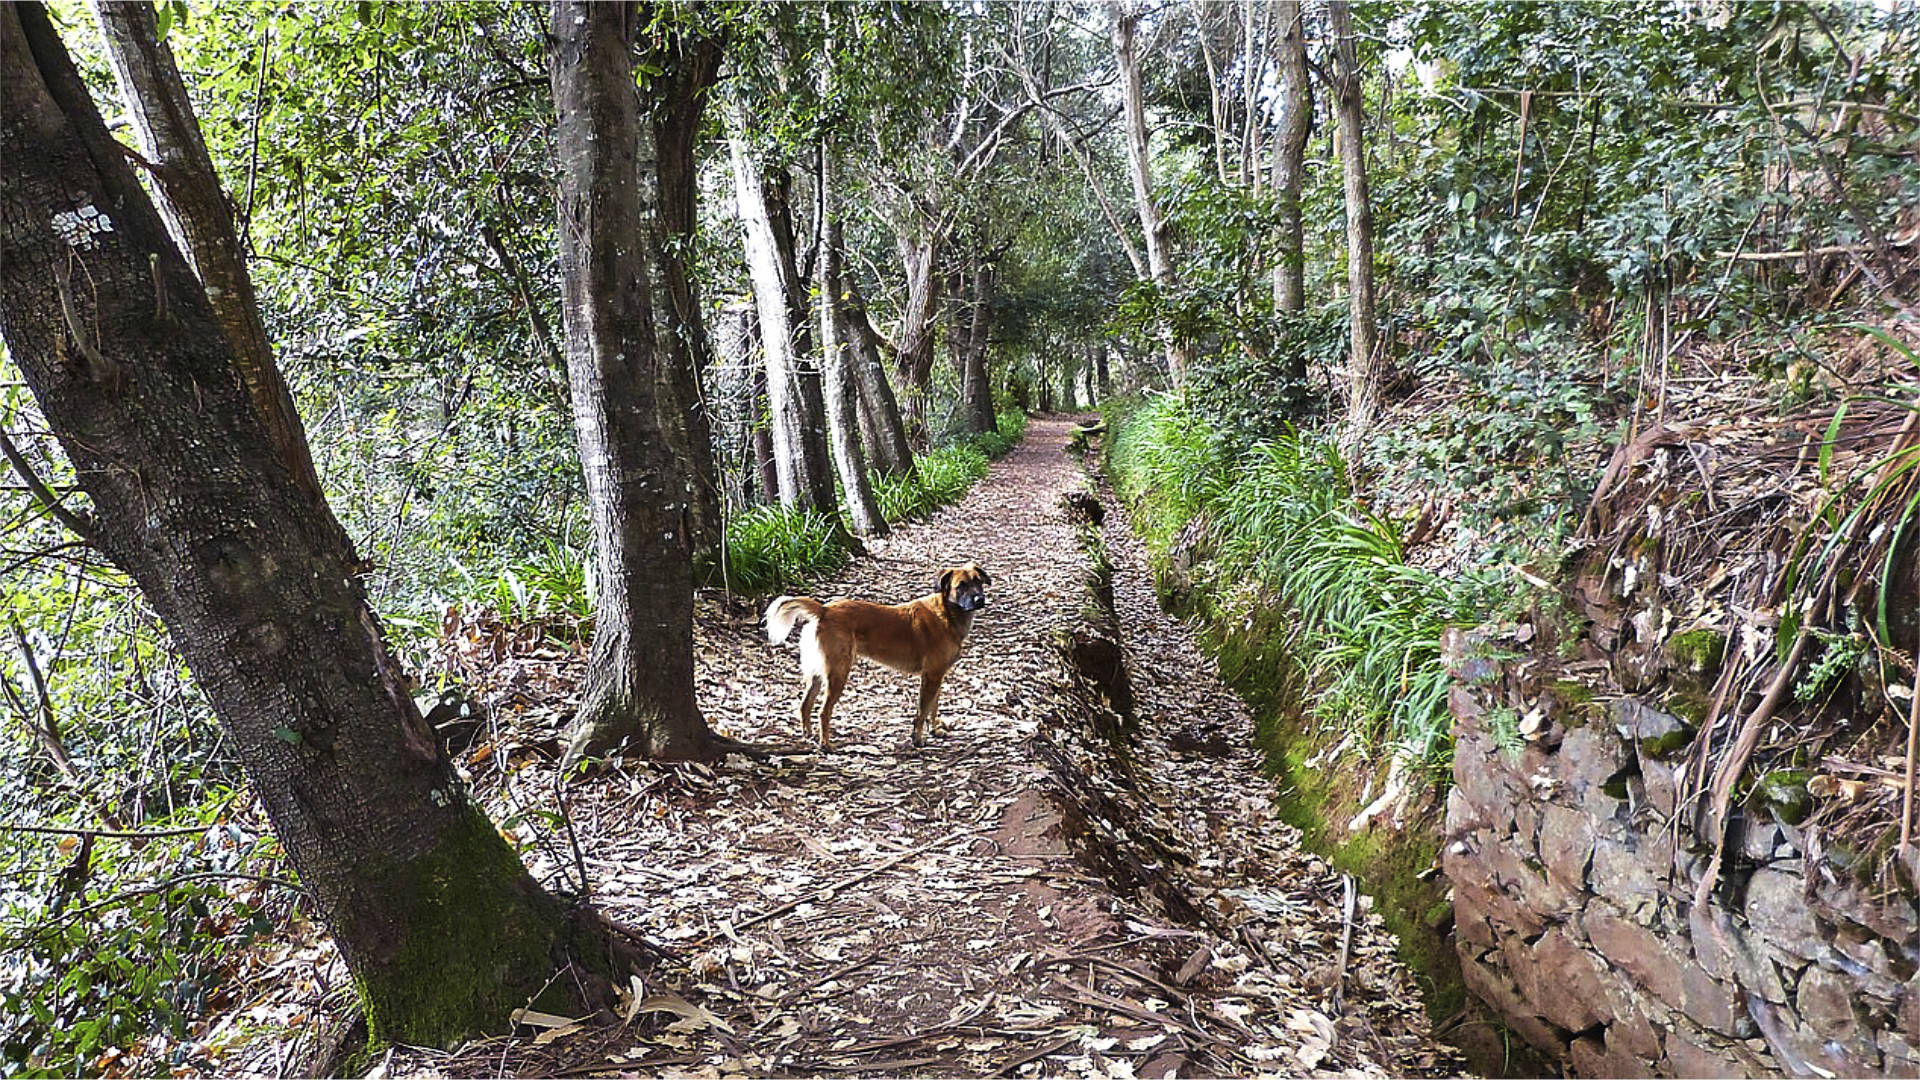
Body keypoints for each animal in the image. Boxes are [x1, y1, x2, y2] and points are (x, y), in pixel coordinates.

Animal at [764, 564, 990, 749]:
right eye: (961, 586)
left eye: (978, 582)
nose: (980, 600)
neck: (948, 613)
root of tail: (825, 609)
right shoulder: (931, 676)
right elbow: (922, 711)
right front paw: (917, 739)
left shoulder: (937, 675)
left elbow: (932, 707)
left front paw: (934, 730)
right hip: (838, 673)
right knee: (823, 711)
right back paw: (825, 744)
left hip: (818, 674)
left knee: (805, 705)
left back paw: (809, 735)